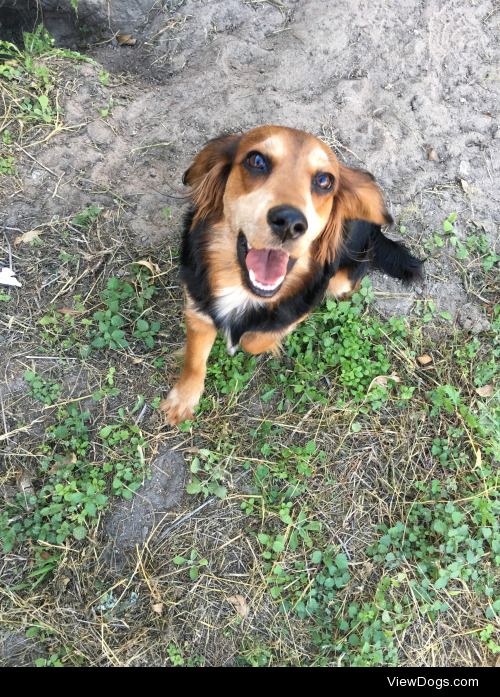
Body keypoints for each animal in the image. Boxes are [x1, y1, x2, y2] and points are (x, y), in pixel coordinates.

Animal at [161, 125, 422, 424]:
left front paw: (254, 341)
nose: (289, 223)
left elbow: (254, 338)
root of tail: (374, 230)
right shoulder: (197, 306)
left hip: (341, 281)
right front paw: (184, 399)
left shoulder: (300, 307)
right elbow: (195, 359)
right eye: (256, 160)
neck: (243, 288)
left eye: (325, 180)